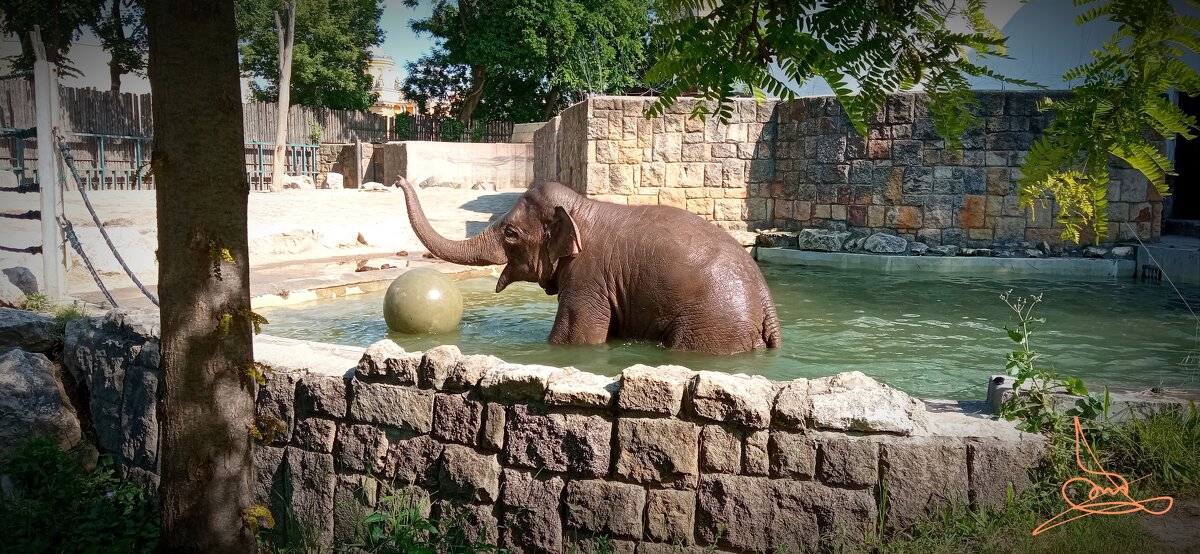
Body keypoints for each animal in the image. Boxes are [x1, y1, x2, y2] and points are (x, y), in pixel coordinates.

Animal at [398, 179, 782, 357]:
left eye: (510, 233)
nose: (401, 179)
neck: (581, 208)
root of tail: (767, 302)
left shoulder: (588, 277)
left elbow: (574, 338)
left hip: (711, 324)